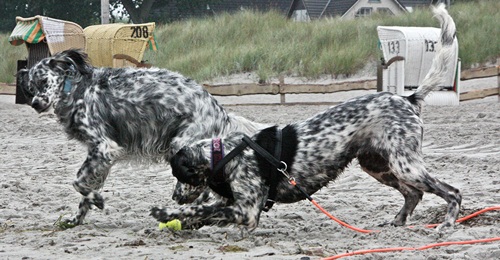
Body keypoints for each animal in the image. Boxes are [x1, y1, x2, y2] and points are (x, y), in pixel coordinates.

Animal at [151, 4, 460, 231]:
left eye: (178, 175)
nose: (174, 196)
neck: (225, 153)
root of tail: (407, 98)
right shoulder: (235, 204)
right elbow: (202, 210)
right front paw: (174, 215)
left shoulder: (247, 210)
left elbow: (204, 210)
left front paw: (167, 212)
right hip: (376, 165)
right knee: (414, 194)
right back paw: (398, 221)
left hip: (405, 166)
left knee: (451, 192)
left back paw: (447, 224)